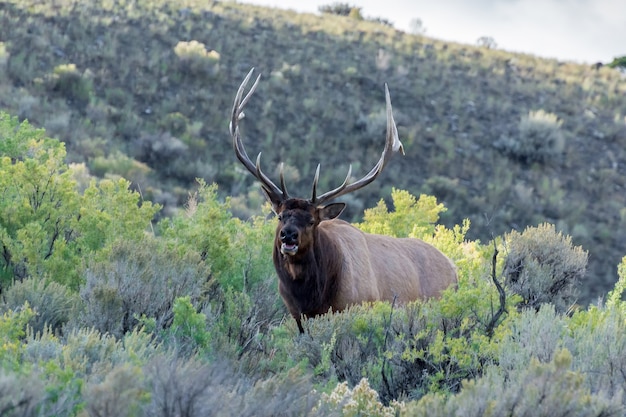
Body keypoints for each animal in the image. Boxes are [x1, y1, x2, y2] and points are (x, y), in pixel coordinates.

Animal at [228, 70, 454, 334]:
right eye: (280, 216)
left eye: (312, 221)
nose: (288, 235)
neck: (313, 297)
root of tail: (455, 270)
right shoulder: (297, 316)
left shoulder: (353, 307)